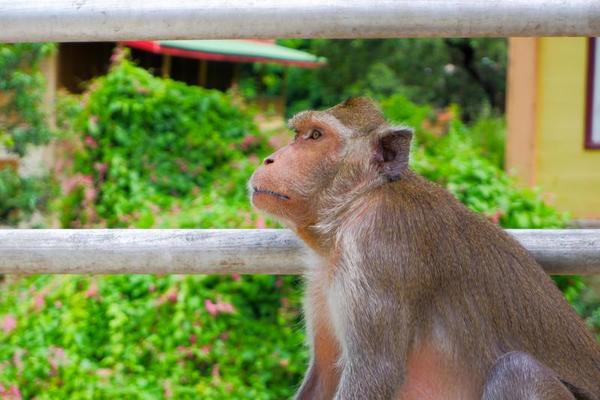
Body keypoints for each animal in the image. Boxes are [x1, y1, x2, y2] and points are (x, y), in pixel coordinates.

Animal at [247, 97, 600, 400]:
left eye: (316, 136)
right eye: (299, 134)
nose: (270, 158)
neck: (357, 202)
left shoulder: (377, 250)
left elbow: (376, 373)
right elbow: (325, 377)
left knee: (518, 372)